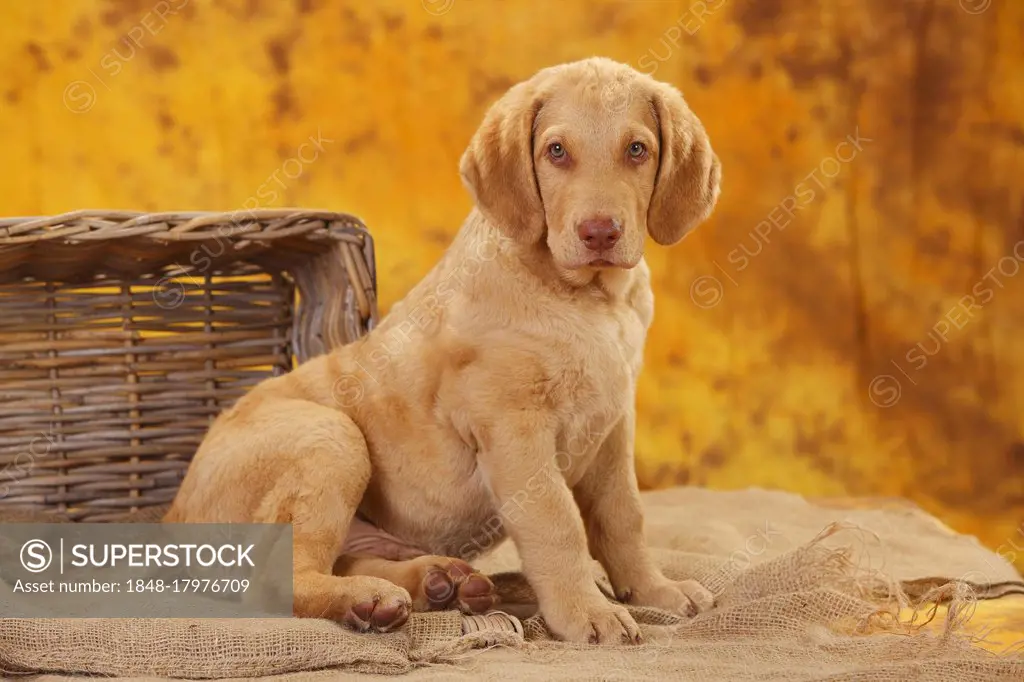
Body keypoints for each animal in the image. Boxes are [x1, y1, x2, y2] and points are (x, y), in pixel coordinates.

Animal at [165, 58, 720, 643]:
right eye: (556, 151)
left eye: (637, 149)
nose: (599, 233)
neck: (591, 299)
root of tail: (168, 519)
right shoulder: (512, 426)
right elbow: (558, 521)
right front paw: (588, 612)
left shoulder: (612, 423)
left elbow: (623, 516)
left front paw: (655, 591)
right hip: (331, 436)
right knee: (279, 581)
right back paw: (368, 600)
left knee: (347, 557)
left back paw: (441, 583)